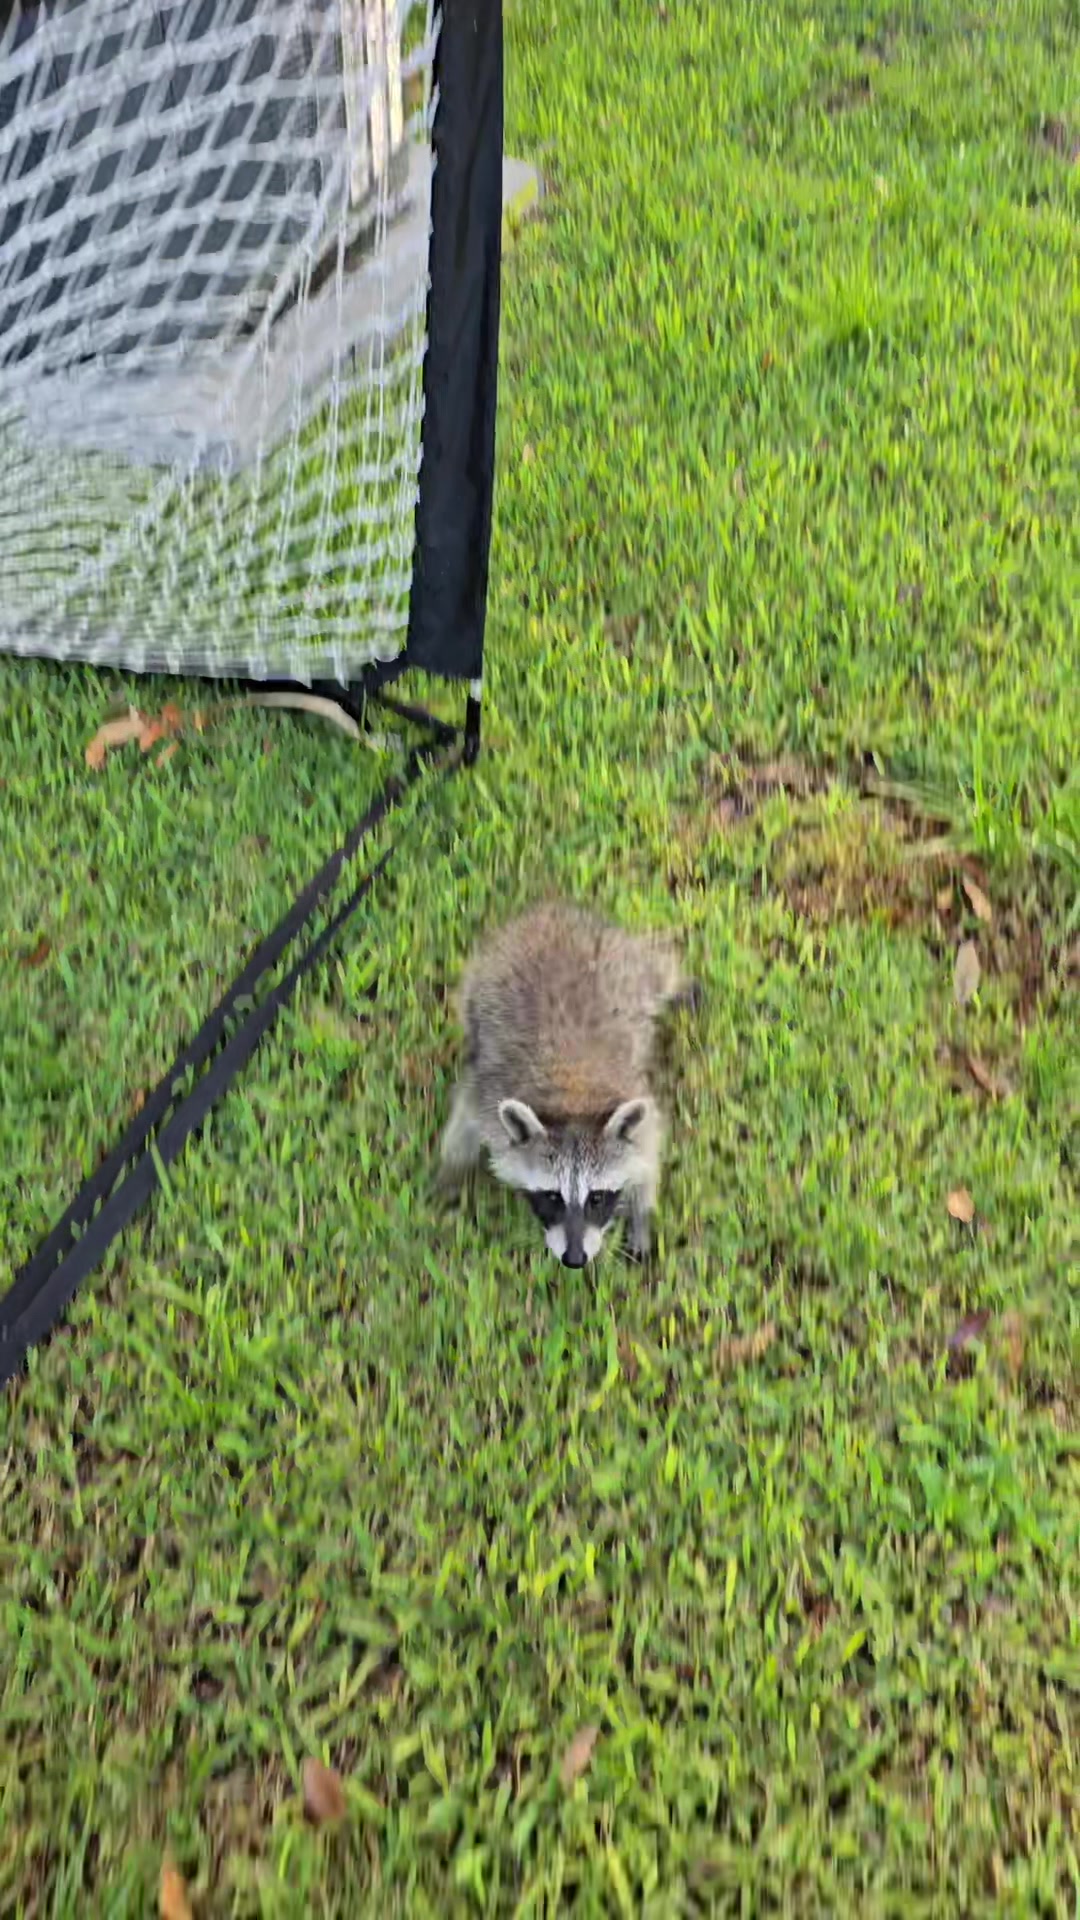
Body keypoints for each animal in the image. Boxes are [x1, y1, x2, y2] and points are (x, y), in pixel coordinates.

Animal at [438, 901, 694, 1267]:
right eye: (552, 1197)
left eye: (596, 1198)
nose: (574, 1259)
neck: (572, 1100)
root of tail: (550, 911)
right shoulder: (488, 1093)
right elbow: (464, 1121)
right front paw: (451, 1172)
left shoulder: (636, 1095)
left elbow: (646, 1147)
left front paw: (641, 1211)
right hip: (483, 976)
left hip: (625, 966)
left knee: (656, 970)